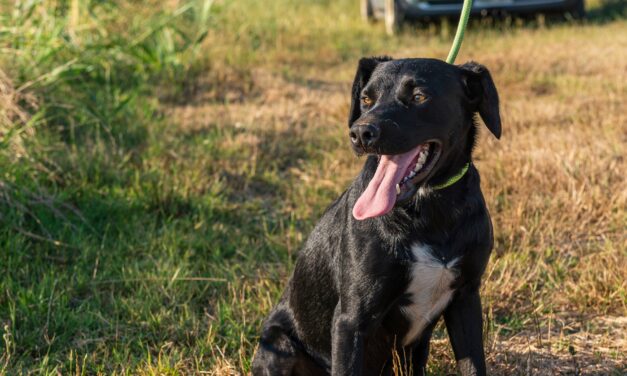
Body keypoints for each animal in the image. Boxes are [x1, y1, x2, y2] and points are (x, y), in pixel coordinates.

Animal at [253, 56, 502, 376]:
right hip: (278, 346)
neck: (429, 211)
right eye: (366, 99)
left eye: (419, 97)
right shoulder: (351, 319)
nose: (360, 133)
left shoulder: (466, 298)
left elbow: (474, 366)